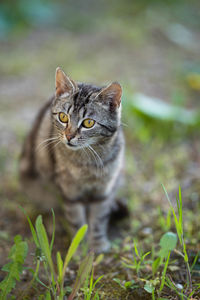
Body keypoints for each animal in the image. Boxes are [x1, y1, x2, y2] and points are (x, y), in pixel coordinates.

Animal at [19, 68, 124, 253]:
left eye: (88, 123)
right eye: (63, 117)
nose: (69, 136)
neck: (87, 160)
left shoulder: (104, 190)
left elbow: (99, 217)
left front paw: (97, 243)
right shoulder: (70, 192)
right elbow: (76, 220)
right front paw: (79, 246)